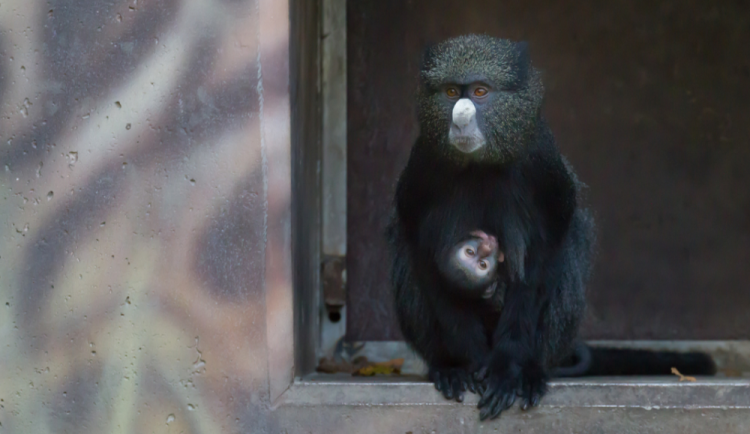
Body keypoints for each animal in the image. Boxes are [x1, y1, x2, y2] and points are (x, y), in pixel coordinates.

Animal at [388, 35, 592, 422]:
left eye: (480, 91)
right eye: (451, 91)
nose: (461, 117)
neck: (480, 165)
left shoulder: (543, 164)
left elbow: (545, 253)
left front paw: (507, 369)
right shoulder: (422, 165)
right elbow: (422, 253)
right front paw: (469, 364)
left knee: (575, 241)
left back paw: (532, 371)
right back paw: (447, 367)